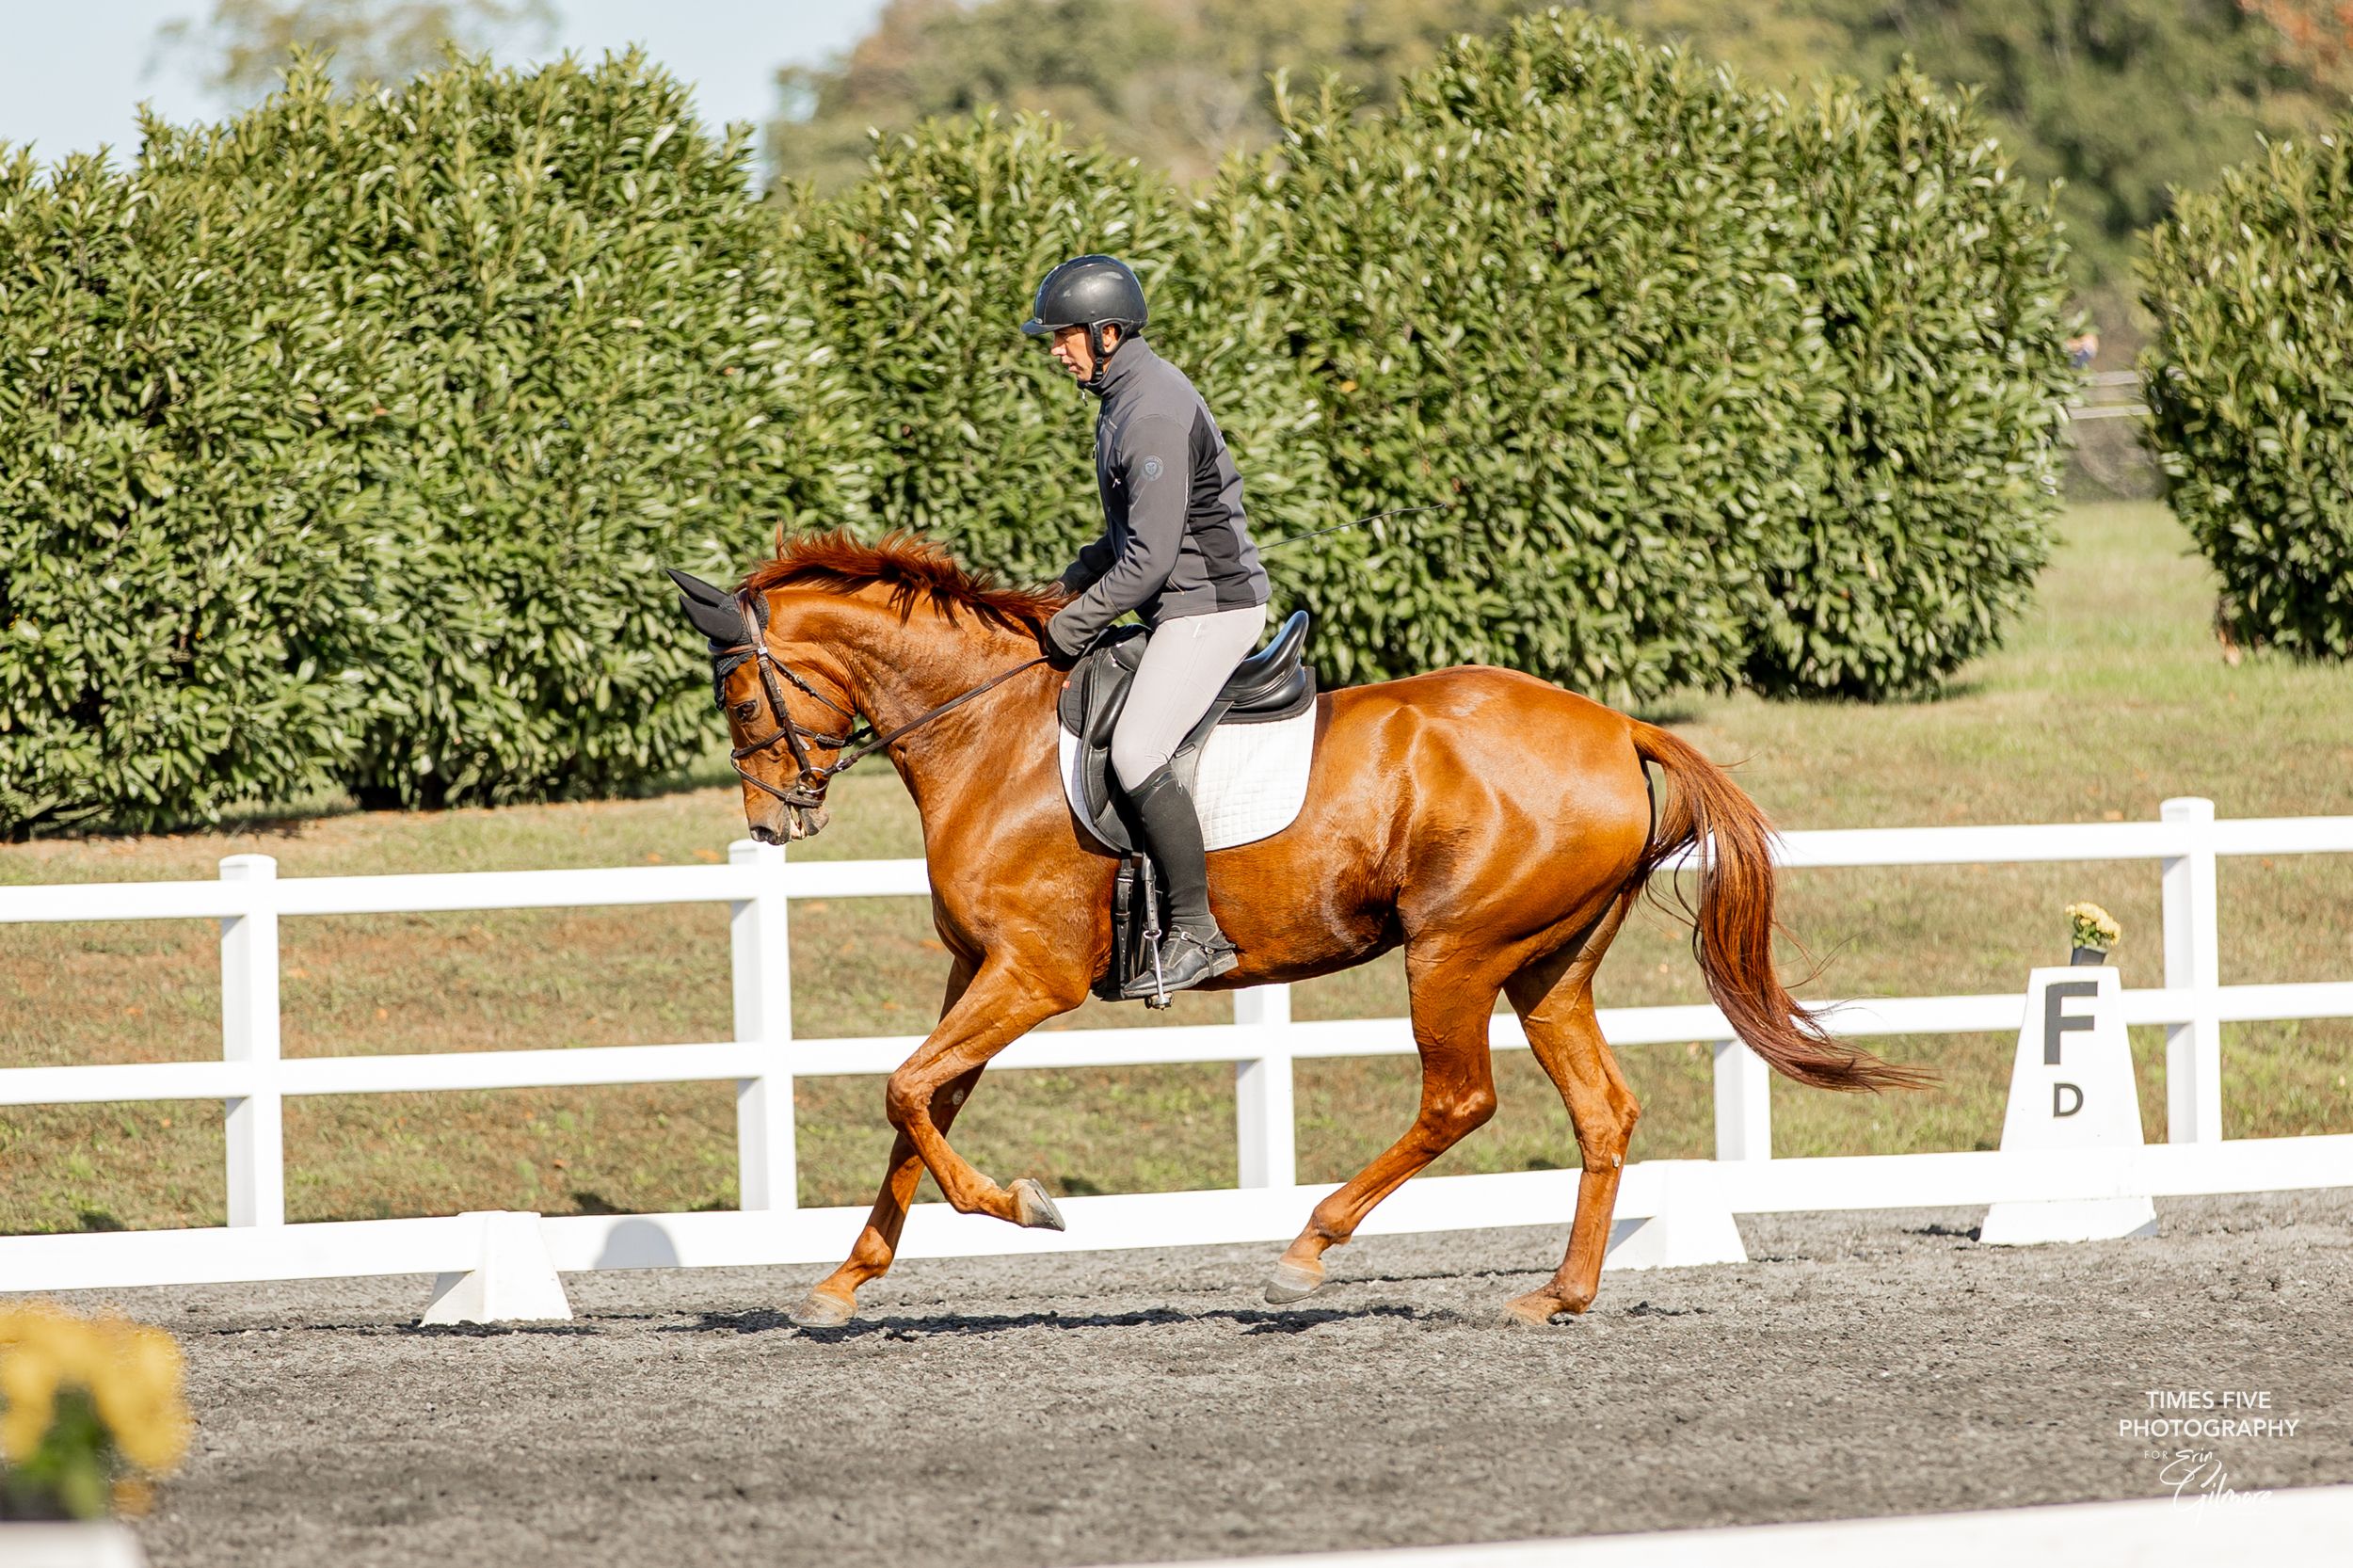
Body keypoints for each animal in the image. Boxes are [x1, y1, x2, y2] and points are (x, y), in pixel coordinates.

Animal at [668, 530, 1927, 1328]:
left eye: (736, 695)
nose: (771, 823)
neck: (993, 733)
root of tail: (1618, 725)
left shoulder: (1032, 974)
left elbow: (904, 1091)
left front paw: (1025, 1206)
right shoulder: (974, 970)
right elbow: (917, 1103)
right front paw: (842, 1283)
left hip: (1454, 952)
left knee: (1457, 1100)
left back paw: (1304, 1255)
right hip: (1547, 966)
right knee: (1601, 1112)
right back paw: (1556, 1296)